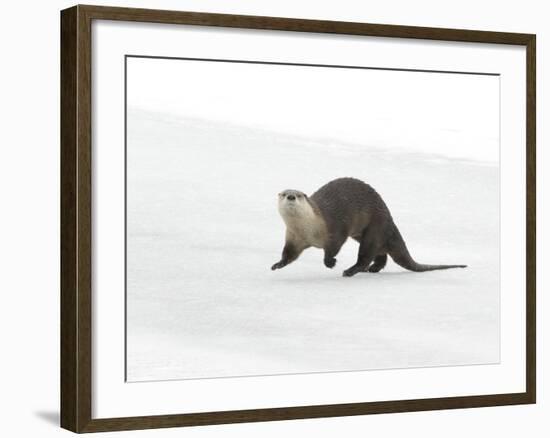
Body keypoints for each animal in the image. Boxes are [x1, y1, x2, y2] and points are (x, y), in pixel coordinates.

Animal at [270, 176, 466, 276]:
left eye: (299, 195)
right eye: (285, 194)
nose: (291, 197)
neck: (310, 230)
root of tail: (388, 219)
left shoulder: (334, 229)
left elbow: (333, 248)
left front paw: (330, 262)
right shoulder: (294, 238)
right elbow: (289, 254)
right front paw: (277, 264)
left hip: (374, 228)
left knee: (367, 253)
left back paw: (351, 270)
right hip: (362, 234)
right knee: (380, 253)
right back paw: (372, 269)